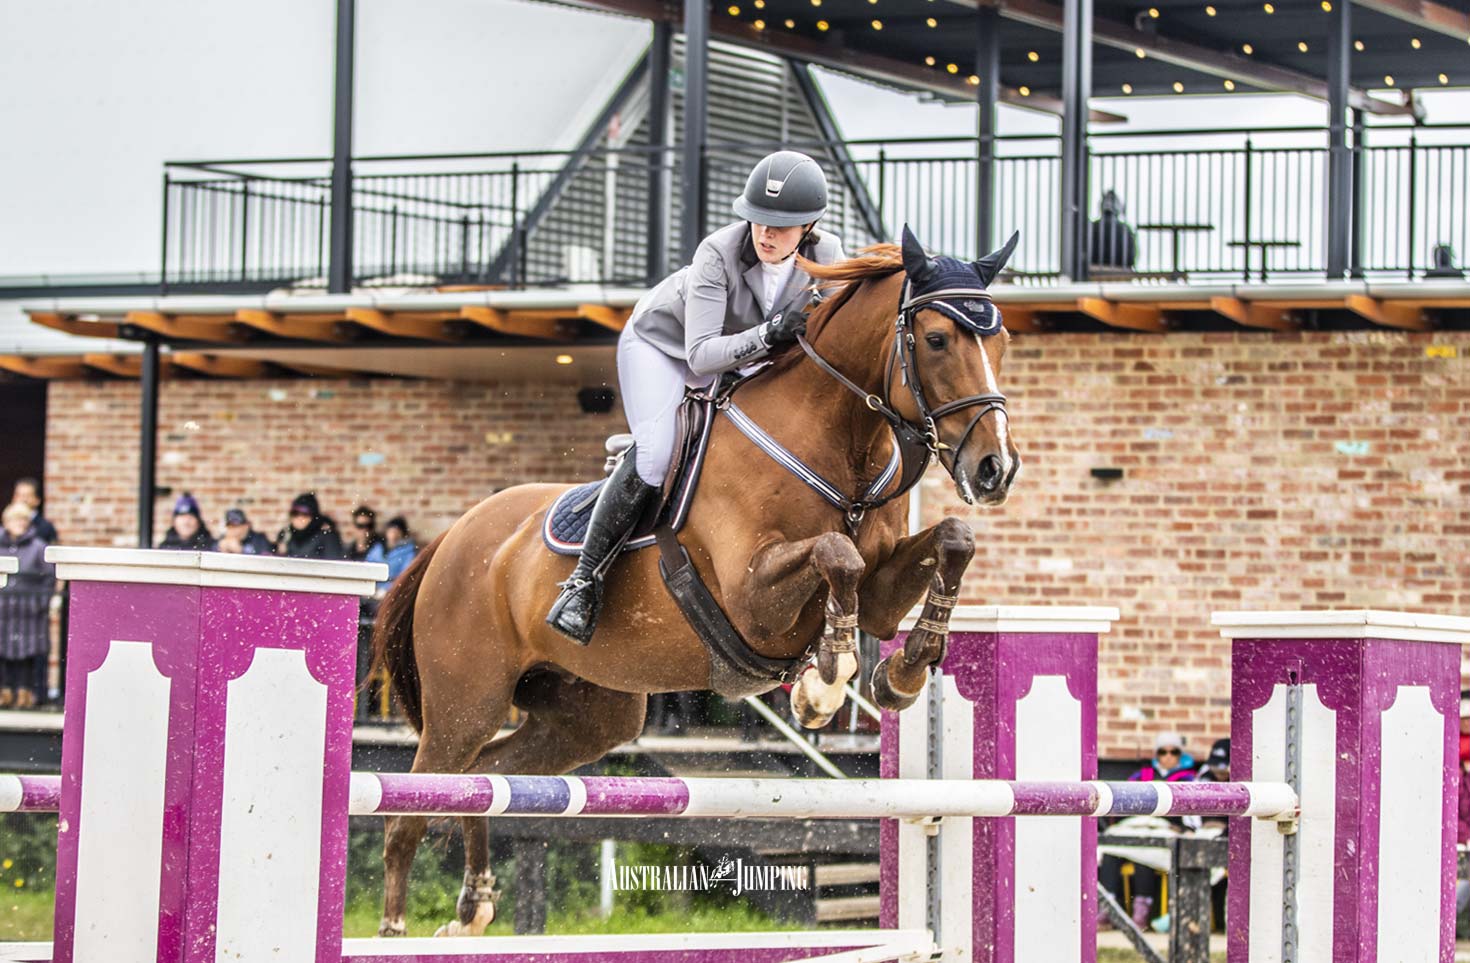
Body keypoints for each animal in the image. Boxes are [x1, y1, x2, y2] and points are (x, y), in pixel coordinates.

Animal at [367, 226, 1017, 935]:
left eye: (1002, 341)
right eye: (937, 339)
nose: (995, 469)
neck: (839, 439)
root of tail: (452, 538)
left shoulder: (877, 595)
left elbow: (951, 540)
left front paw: (902, 671)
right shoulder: (752, 600)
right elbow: (836, 553)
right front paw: (821, 686)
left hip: (585, 716)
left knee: (488, 779)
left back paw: (473, 906)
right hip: (466, 702)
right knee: (412, 810)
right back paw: (395, 930)